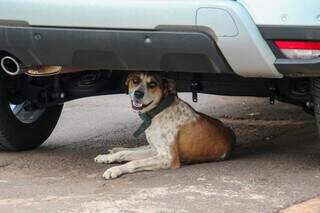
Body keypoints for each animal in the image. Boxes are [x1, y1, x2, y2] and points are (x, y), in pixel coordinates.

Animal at [94, 72, 235, 179]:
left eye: (152, 84)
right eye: (135, 80)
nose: (138, 94)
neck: (158, 110)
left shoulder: (168, 157)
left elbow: (134, 162)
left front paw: (114, 170)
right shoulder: (155, 150)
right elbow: (125, 154)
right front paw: (107, 158)